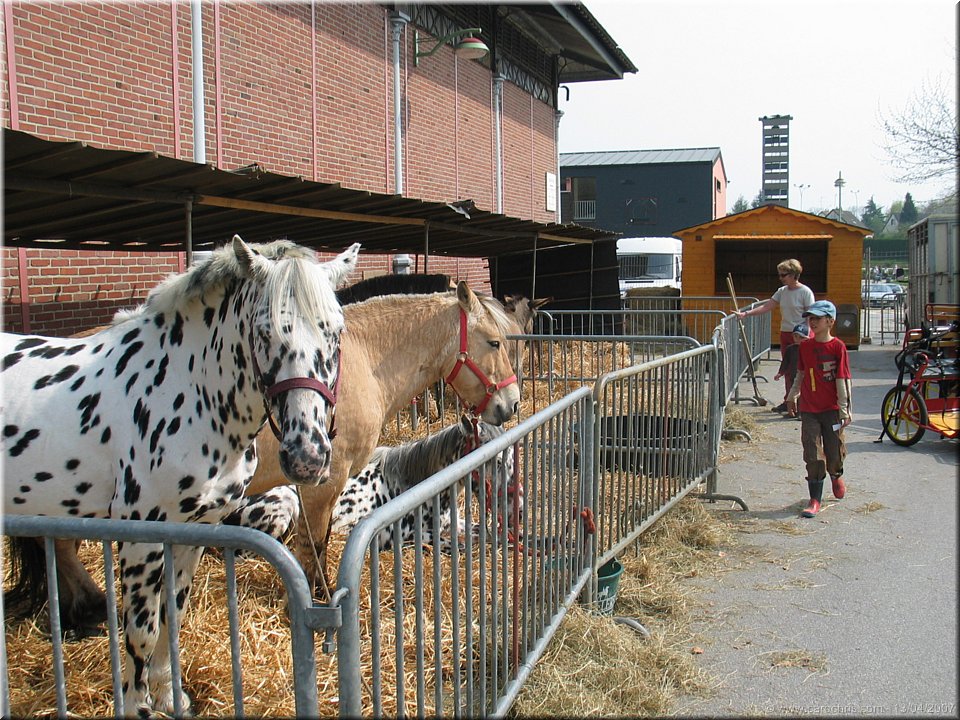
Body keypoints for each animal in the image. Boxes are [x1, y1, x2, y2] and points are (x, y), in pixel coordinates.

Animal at [2, 236, 360, 716]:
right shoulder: (142, 537)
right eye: (265, 333)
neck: (186, 389)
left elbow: (173, 614)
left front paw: (171, 696)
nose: (307, 456)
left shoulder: (193, 531)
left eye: (334, 332)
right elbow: (142, 631)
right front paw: (138, 706)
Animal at [245, 281, 521, 597]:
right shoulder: (323, 485)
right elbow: (312, 548)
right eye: (494, 343)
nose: (513, 402)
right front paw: (319, 597)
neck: (360, 362)